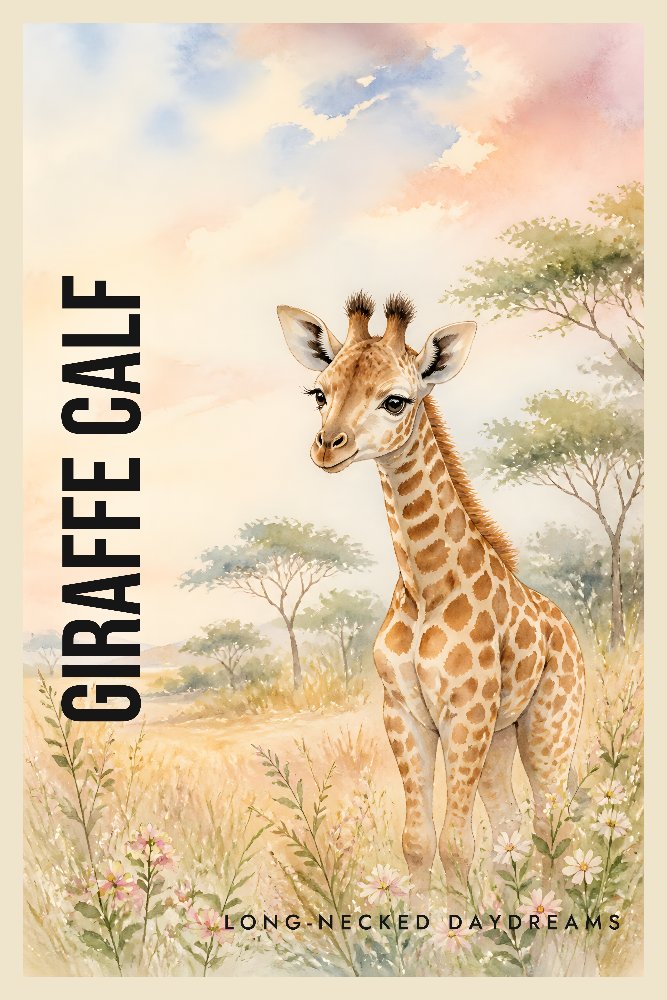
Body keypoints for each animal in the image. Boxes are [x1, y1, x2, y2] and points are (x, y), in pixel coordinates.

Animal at [277, 290, 585, 905]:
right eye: (319, 392)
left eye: (396, 400)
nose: (327, 448)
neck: (425, 587)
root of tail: (568, 628)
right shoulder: (405, 712)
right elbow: (418, 844)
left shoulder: (465, 713)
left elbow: (455, 846)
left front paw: (458, 925)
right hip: (501, 738)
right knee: (513, 825)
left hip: (548, 725)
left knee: (551, 821)